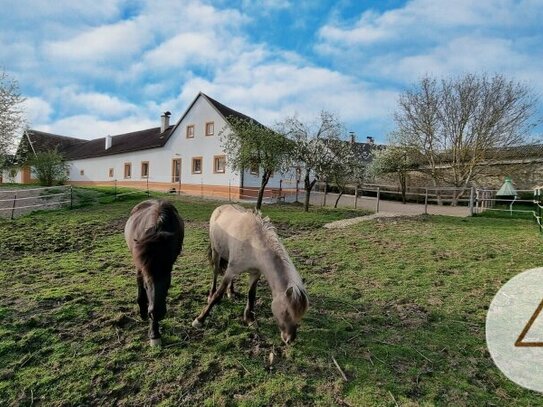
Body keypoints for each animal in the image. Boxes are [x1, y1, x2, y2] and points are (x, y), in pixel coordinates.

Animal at [124, 199, 184, 346]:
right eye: (147, 285)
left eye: (168, 283)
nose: (156, 313)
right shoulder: (142, 266)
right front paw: (154, 332)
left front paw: (154, 333)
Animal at [193, 204, 308, 344]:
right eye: (286, 312)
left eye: (300, 315)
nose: (289, 339)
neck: (254, 244)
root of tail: (220, 207)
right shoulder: (231, 270)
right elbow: (218, 294)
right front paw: (199, 320)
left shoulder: (254, 273)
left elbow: (251, 295)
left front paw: (250, 319)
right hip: (216, 252)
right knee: (215, 272)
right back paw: (211, 293)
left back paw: (231, 292)